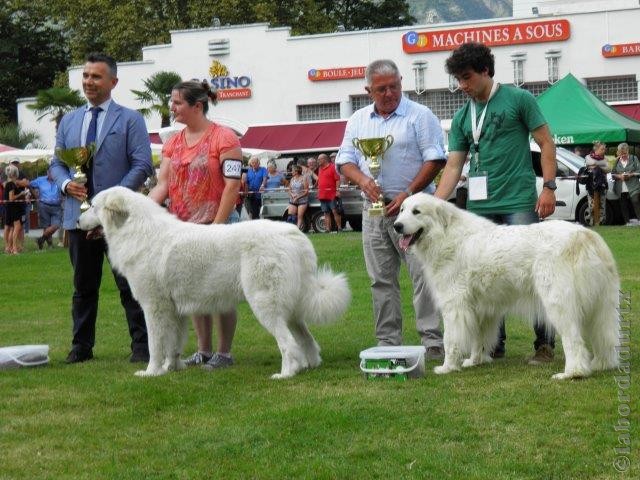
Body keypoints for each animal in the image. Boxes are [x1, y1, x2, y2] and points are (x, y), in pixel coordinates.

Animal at [79, 188, 356, 378]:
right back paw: (310, 365)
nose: (77, 222)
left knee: (287, 342)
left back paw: (286, 373)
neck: (136, 231)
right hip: (291, 305)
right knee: (305, 338)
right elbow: (174, 343)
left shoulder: (154, 307)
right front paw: (173, 367)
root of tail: (295, 235)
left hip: (265, 303)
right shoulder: (175, 310)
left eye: (92, 206)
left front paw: (151, 372)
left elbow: (155, 344)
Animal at [396, 193, 620, 380]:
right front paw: (475, 361)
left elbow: (451, 340)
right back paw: (601, 364)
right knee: (605, 338)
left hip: (559, 304)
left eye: (416, 211)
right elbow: (479, 338)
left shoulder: (455, 306)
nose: (396, 226)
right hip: (601, 306)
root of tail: (585, 235)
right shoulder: (482, 309)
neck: (444, 235)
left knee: (574, 341)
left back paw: (572, 373)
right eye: (402, 210)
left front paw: (447, 367)